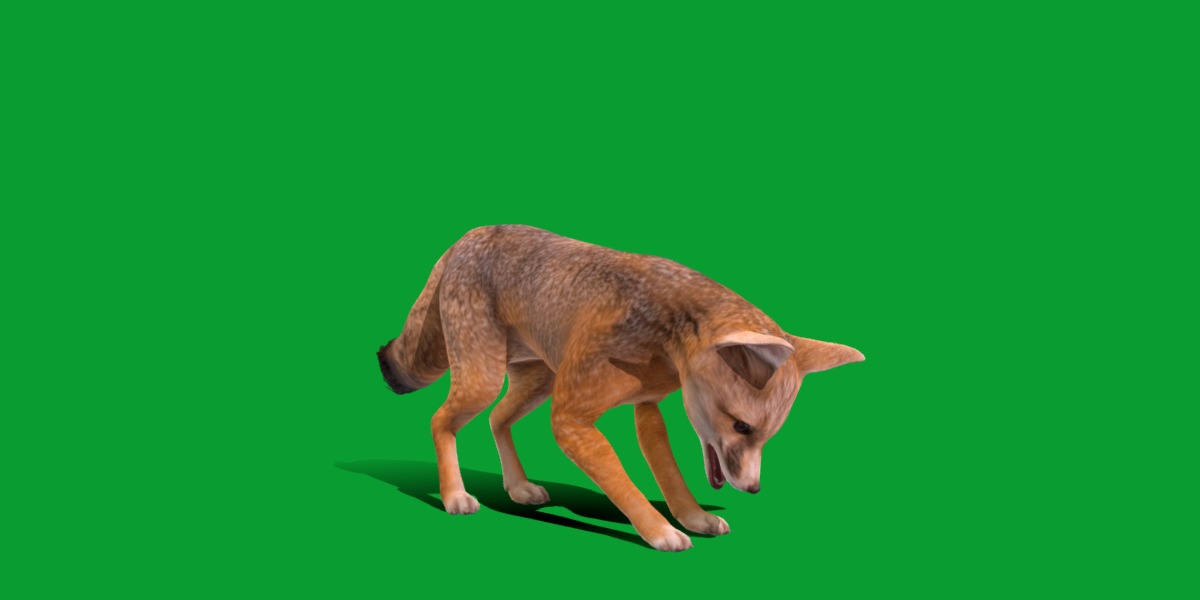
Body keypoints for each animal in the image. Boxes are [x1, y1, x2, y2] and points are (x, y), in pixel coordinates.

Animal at [377, 225, 863, 551]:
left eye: (768, 436)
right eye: (742, 427)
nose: (754, 489)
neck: (662, 336)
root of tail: (472, 233)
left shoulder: (647, 408)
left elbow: (671, 479)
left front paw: (693, 517)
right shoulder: (570, 419)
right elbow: (625, 486)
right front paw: (659, 530)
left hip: (536, 380)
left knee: (497, 419)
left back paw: (517, 487)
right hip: (486, 379)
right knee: (440, 420)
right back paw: (454, 495)